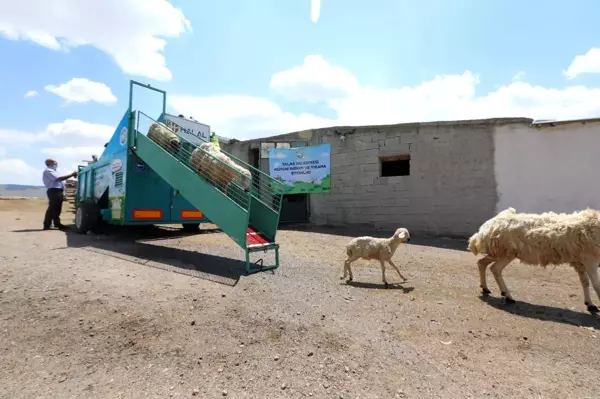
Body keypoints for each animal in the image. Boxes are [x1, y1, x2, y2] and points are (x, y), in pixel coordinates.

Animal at [472, 206, 600, 316]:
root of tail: (484, 229)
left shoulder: (579, 262)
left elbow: (585, 282)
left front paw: (590, 304)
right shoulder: (589, 259)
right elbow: (596, 284)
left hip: (497, 252)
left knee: (482, 263)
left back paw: (485, 288)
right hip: (507, 251)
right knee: (495, 268)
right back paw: (508, 296)